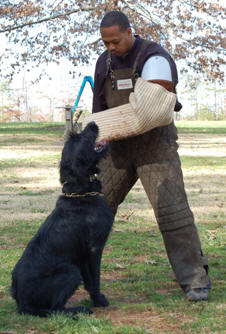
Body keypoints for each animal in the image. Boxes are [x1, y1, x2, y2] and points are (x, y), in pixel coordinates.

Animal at [11, 122, 113, 318]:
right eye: (81, 138)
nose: (92, 123)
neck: (81, 192)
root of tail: (22, 303)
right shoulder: (94, 248)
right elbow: (95, 279)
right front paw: (99, 300)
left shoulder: (82, 257)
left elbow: (89, 281)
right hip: (70, 271)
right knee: (55, 309)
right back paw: (78, 310)